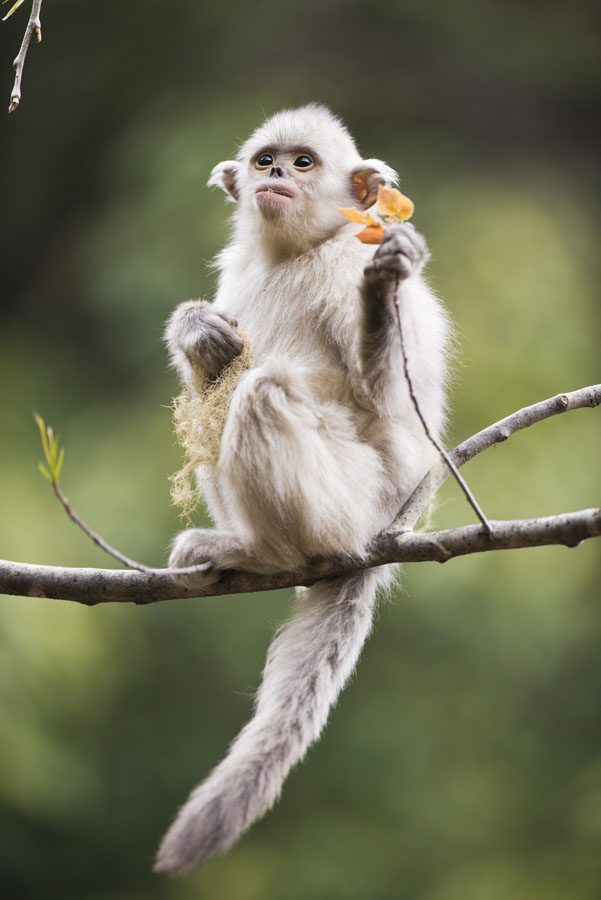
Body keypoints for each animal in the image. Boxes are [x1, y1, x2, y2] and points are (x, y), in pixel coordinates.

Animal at [155, 103, 450, 872]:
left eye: (305, 163)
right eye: (266, 161)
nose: (278, 175)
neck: (295, 253)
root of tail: (385, 533)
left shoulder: (348, 259)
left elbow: (392, 408)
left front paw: (378, 297)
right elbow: (210, 367)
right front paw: (193, 330)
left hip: (352, 501)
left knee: (261, 390)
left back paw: (264, 552)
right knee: (219, 396)